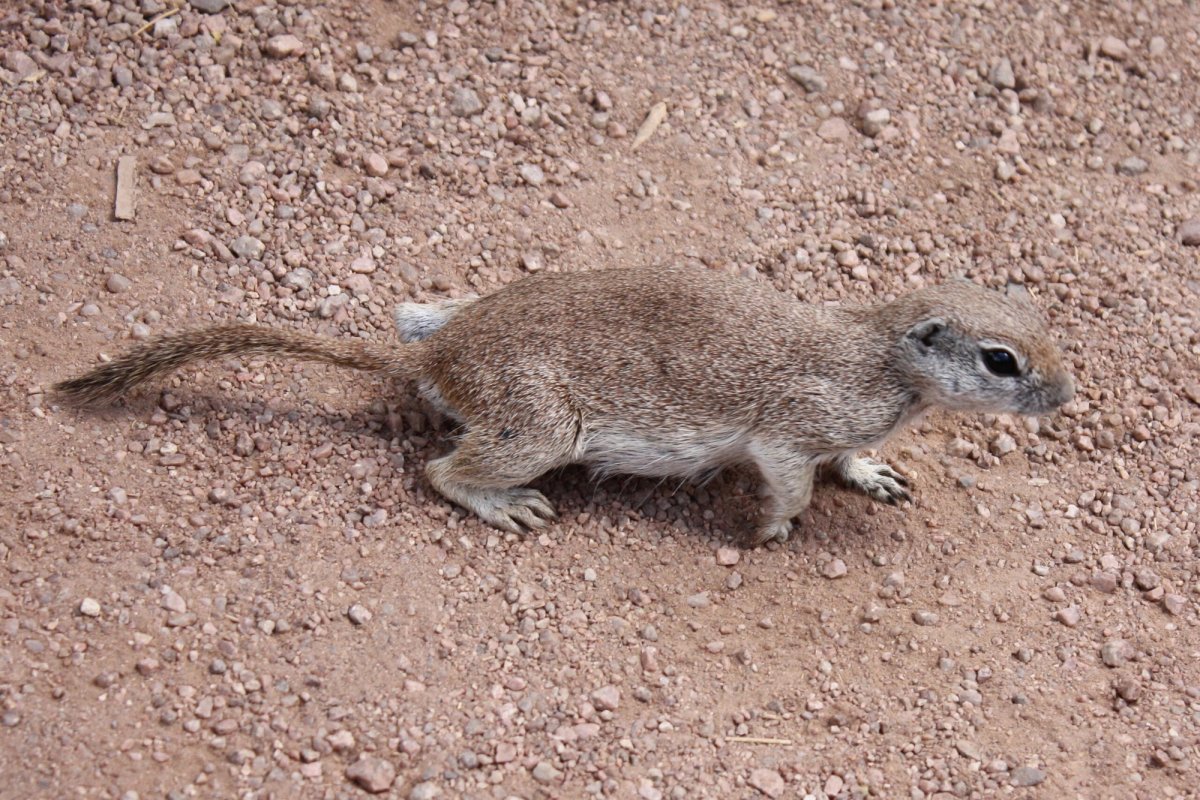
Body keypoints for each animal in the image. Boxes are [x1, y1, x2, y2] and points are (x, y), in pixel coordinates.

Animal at [53, 267, 1075, 546]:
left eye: (1040, 317)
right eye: (1002, 360)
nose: (1066, 396)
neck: (881, 354)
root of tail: (441, 357)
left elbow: (850, 461)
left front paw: (877, 474)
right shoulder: (790, 429)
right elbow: (789, 483)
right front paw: (773, 529)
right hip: (539, 427)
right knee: (441, 468)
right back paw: (503, 503)